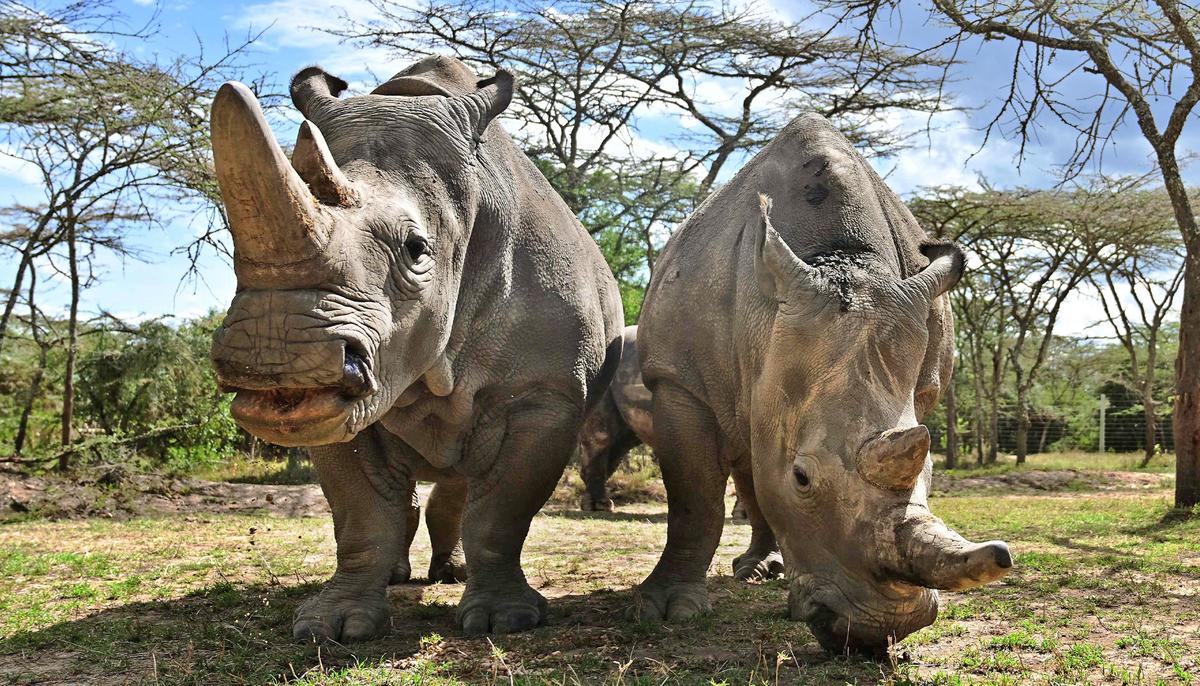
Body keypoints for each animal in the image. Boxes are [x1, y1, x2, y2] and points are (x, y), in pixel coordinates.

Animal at [209, 55, 623, 640]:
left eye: (416, 249)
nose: (275, 355)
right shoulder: (330, 405)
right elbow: (361, 512)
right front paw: (334, 627)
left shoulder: (545, 393)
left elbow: (501, 510)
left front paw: (503, 621)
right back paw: (401, 575)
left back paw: (453, 575)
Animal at [632, 114, 1012, 653]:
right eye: (802, 478)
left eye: (933, 472)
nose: (881, 631)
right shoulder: (677, 378)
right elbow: (694, 496)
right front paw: (666, 610)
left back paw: (762, 572)